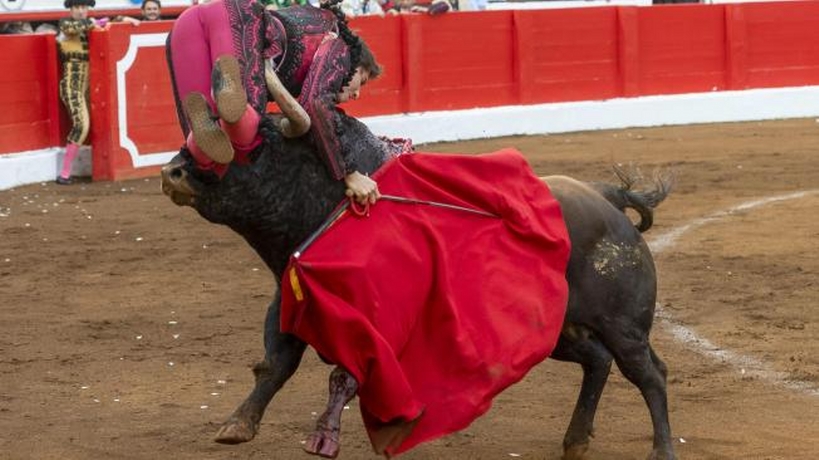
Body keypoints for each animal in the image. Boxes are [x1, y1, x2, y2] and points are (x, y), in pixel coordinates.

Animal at [160, 102, 680, 458]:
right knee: (597, 361)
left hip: (624, 326)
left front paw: (324, 436)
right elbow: (275, 363)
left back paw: (661, 448)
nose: (172, 171)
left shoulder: (378, 326)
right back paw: (574, 440)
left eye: (256, 143)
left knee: (649, 372)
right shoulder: (288, 304)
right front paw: (237, 425)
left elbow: (342, 376)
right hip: (556, 332)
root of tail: (607, 198)